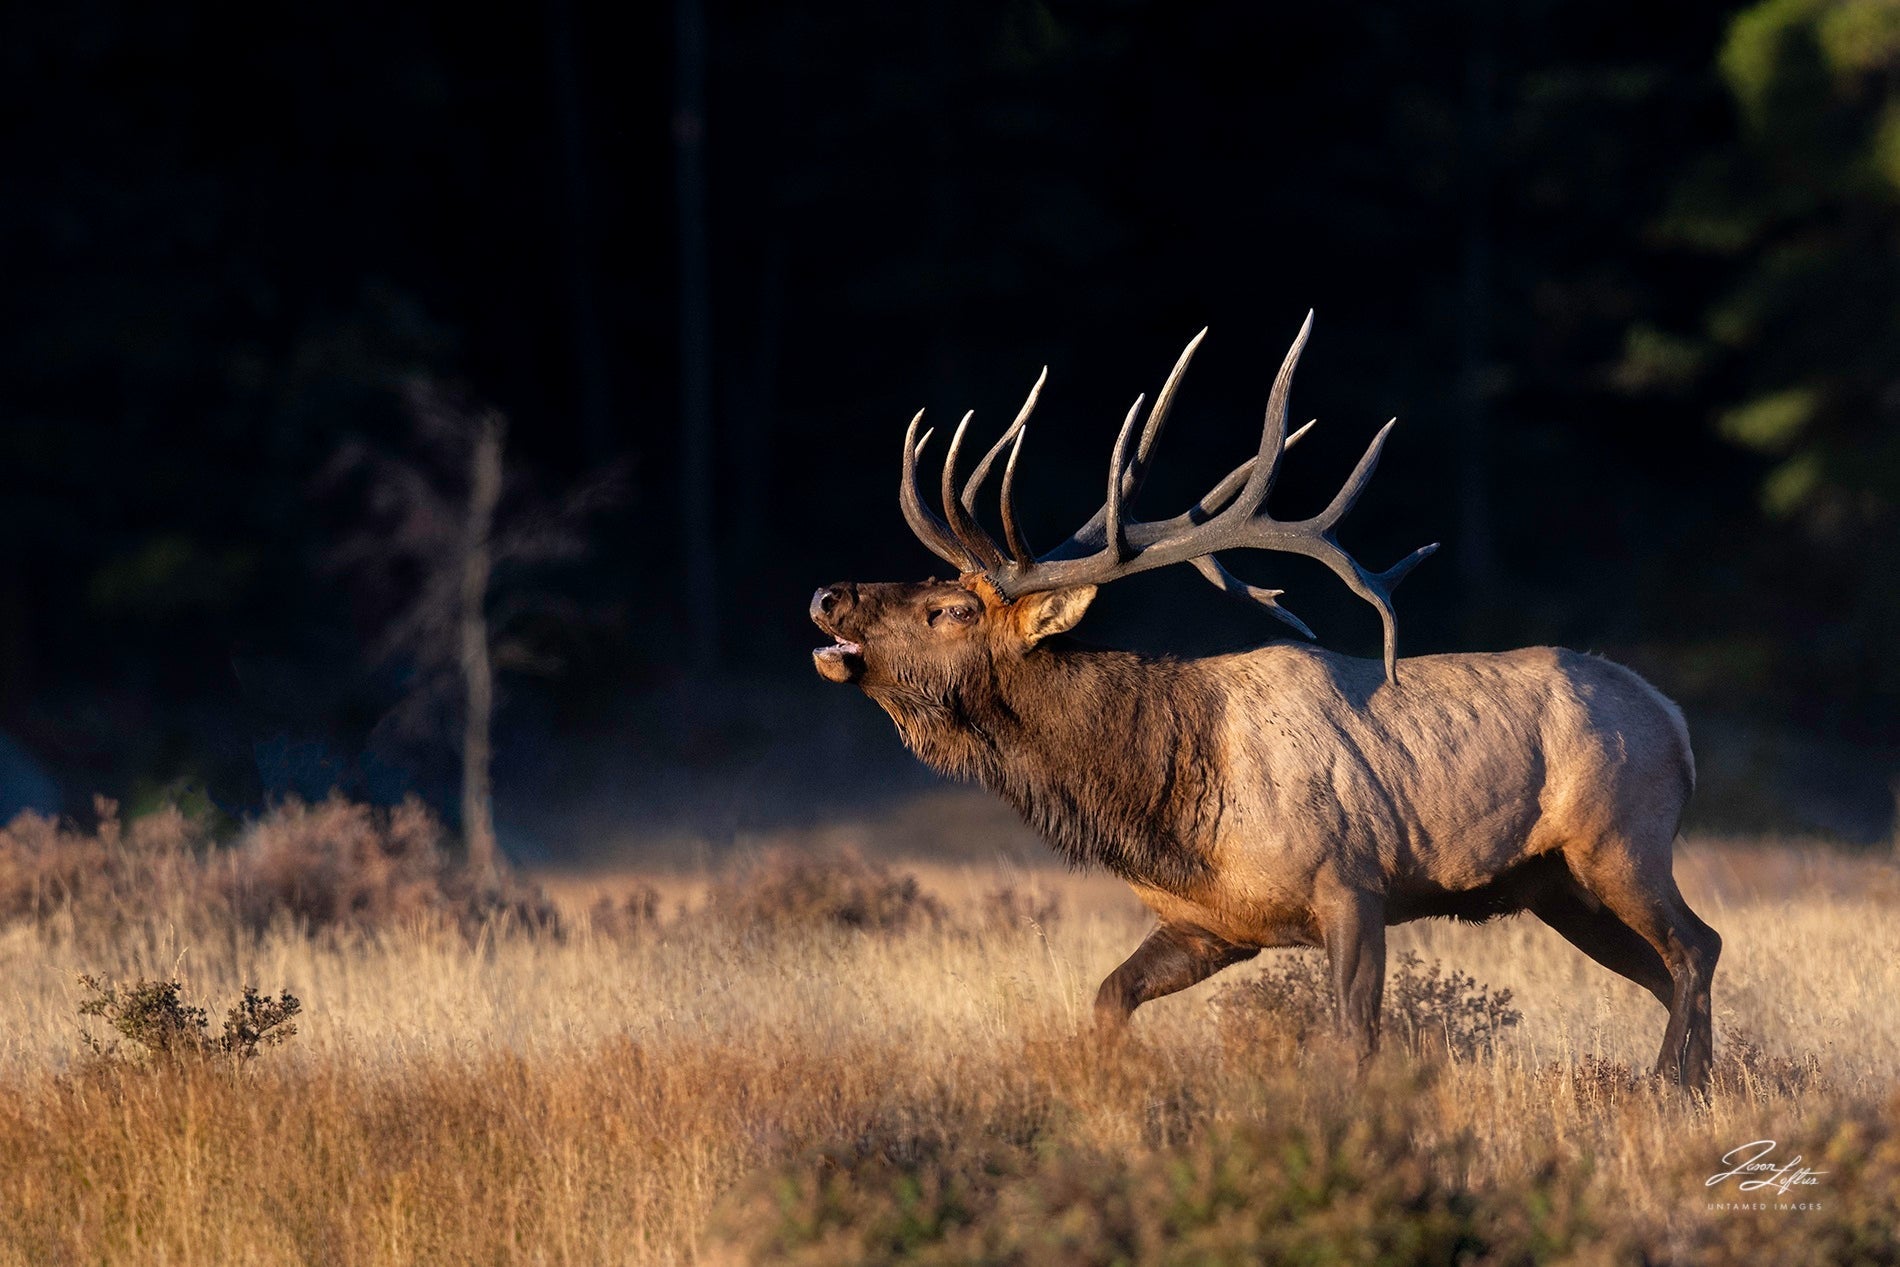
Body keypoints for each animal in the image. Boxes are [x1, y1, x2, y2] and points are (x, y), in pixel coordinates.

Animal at [805, 317, 1725, 1094]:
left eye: (950, 608)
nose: (826, 594)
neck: (1169, 803)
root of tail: (1678, 723)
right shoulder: (1213, 923)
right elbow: (1108, 996)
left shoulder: (1351, 881)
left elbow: (1353, 1038)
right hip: (1558, 886)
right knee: (1665, 966)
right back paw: (1695, 1082)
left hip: (1621, 840)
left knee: (1696, 944)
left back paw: (1673, 1084)